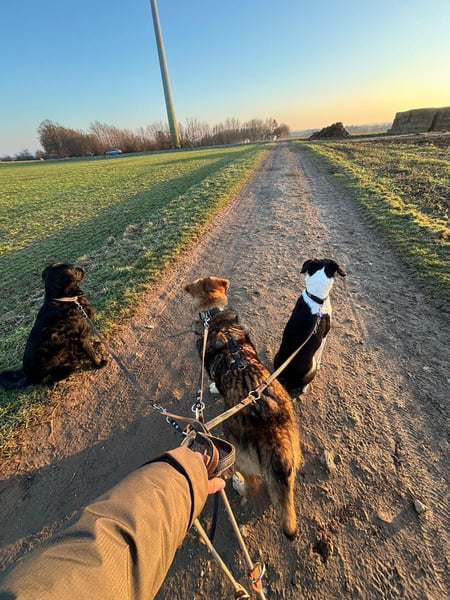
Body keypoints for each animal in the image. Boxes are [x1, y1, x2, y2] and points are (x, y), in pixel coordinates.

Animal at [185, 277, 302, 539]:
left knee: (252, 485)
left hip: (235, 453)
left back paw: (239, 484)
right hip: (292, 451)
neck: (216, 320)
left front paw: (214, 388)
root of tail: (270, 426)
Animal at [273, 258, 346, 395]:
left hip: (277, 357)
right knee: (305, 383)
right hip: (310, 370)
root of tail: (288, 379)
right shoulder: (324, 337)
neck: (316, 297)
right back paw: (305, 387)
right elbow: (320, 354)